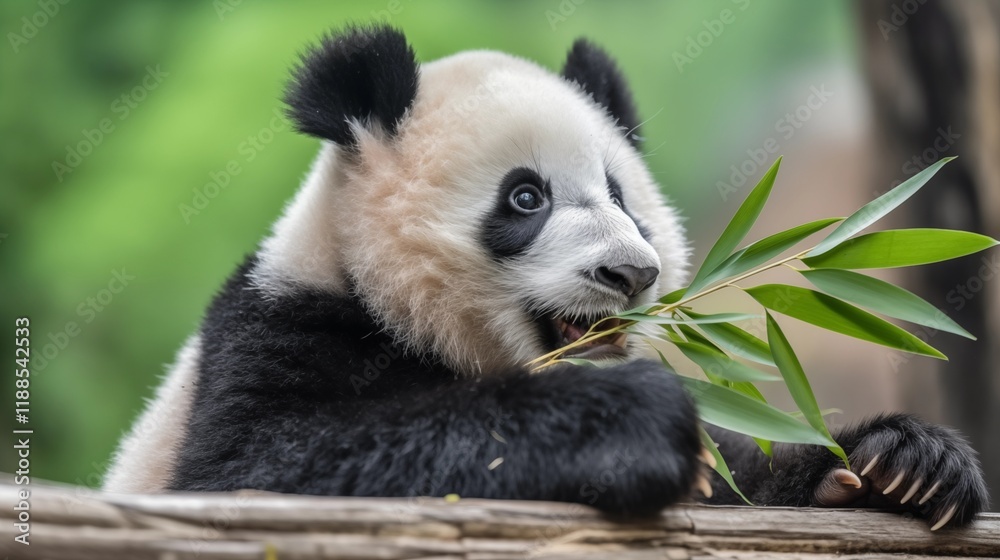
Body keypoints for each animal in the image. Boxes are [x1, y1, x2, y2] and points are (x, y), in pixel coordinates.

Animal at [104, 25, 988, 529]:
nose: (630, 272)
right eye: (525, 197)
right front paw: (633, 425)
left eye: (621, 196)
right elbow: (260, 466)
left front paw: (902, 463)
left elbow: (744, 465)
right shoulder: (284, 324)